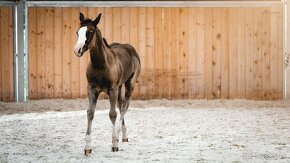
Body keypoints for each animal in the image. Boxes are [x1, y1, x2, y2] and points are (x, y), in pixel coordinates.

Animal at [72, 12, 140, 155]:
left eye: (90, 32)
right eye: (77, 32)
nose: (77, 50)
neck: (100, 65)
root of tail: (130, 48)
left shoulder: (112, 89)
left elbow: (112, 114)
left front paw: (114, 143)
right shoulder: (92, 89)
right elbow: (90, 113)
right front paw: (87, 147)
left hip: (129, 84)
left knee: (124, 106)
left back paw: (118, 135)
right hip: (119, 87)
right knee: (121, 105)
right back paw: (123, 136)